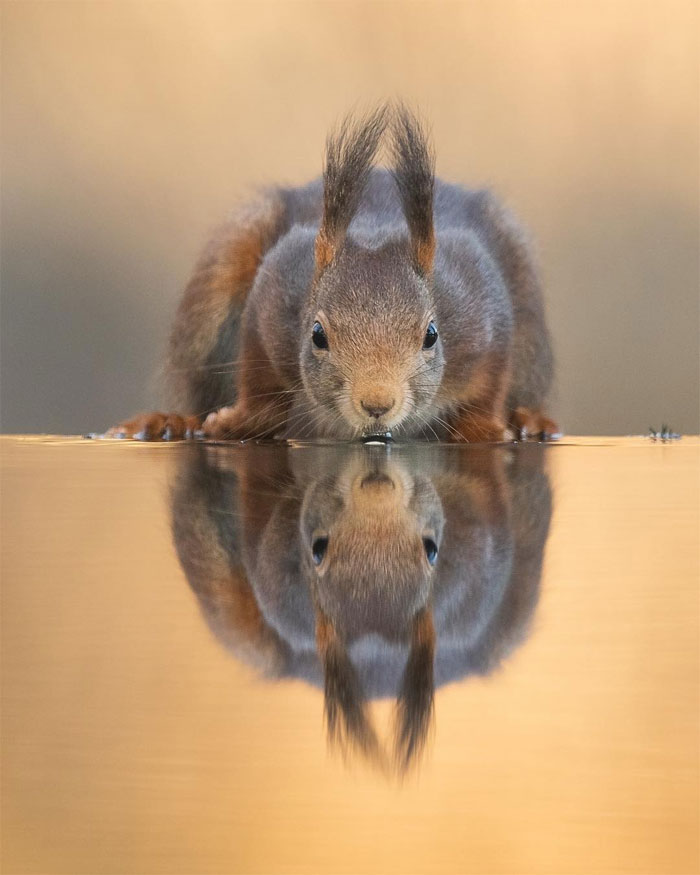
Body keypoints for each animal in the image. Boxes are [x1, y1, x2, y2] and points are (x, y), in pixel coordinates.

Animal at [108, 104, 556, 444]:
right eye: (317, 335)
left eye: (431, 335)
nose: (376, 404)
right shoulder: (275, 294)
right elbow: (259, 383)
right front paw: (238, 421)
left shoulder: (481, 306)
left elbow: (490, 384)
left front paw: (485, 428)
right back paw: (170, 423)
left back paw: (531, 420)